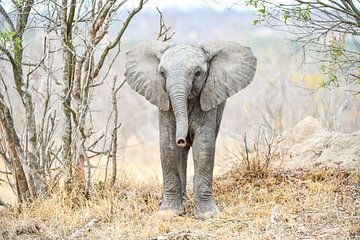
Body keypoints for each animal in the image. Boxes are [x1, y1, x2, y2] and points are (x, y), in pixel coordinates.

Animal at [124, 40, 256, 218]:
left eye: (198, 73)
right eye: (162, 73)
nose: (181, 139)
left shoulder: (208, 100)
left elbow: (204, 146)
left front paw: (207, 214)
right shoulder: (165, 103)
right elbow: (168, 146)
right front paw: (169, 213)